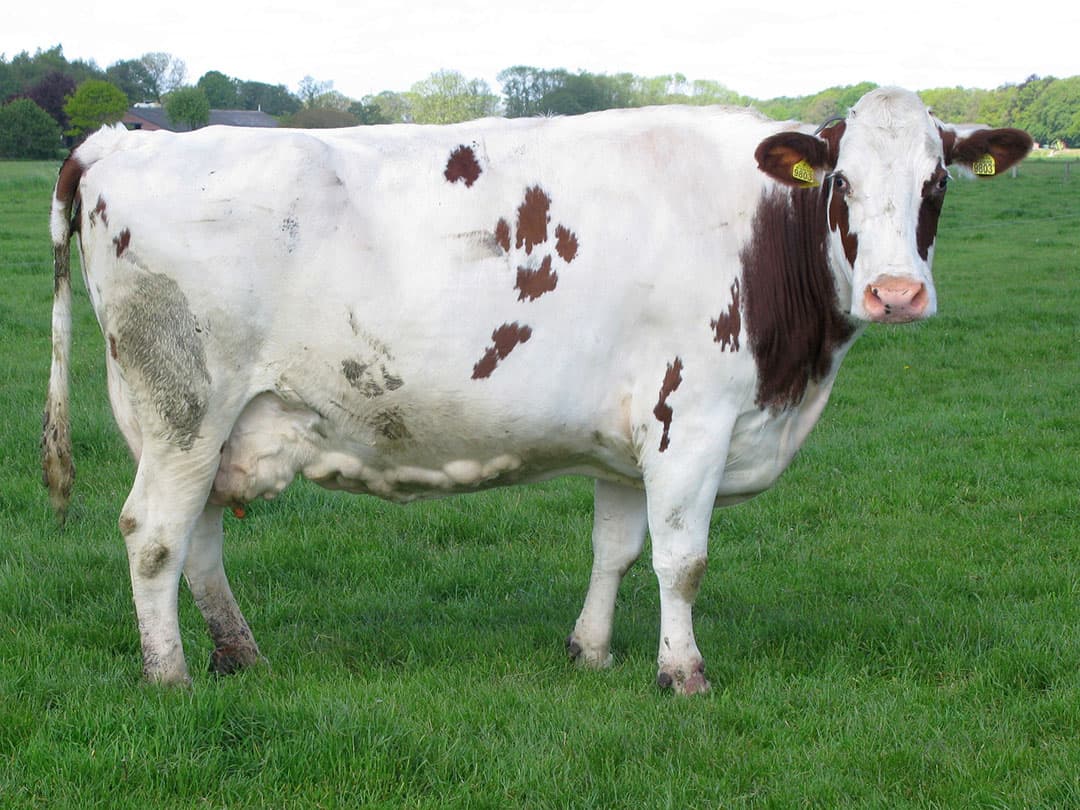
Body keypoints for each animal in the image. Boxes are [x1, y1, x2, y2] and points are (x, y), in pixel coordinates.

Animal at [43, 88, 1032, 693]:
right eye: (843, 182)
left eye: (936, 182)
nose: (895, 292)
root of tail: (116, 141)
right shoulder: (692, 421)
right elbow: (683, 560)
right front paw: (682, 673)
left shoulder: (629, 440)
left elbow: (616, 551)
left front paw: (590, 651)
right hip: (185, 406)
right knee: (154, 536)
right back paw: (169, 673)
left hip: (216, 423)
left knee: (200, 538)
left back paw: (238, 653)